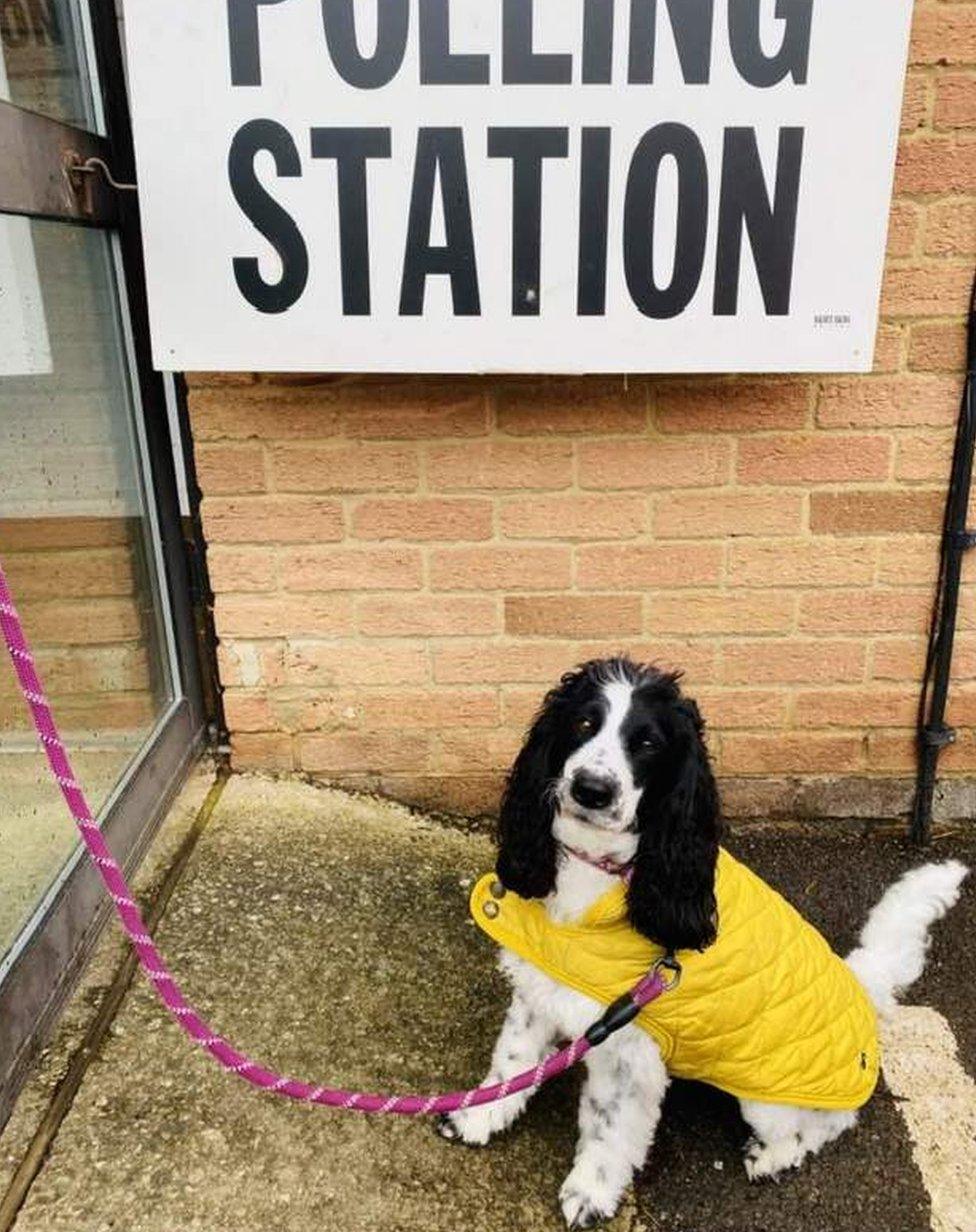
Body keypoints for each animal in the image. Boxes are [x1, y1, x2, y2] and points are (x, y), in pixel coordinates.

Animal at [438, 660, 966, 1227]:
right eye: (582, 723)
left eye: (648, 743)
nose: (592, 790)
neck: (601, 874)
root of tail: (860, 986)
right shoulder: (542, 987)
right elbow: (513, 1062)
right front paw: (477, 1116)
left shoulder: (628, 1051)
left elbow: (607, 1130)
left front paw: (591, 1194)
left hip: (769, 1096)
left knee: (831, 1123)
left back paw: (774, 1156)